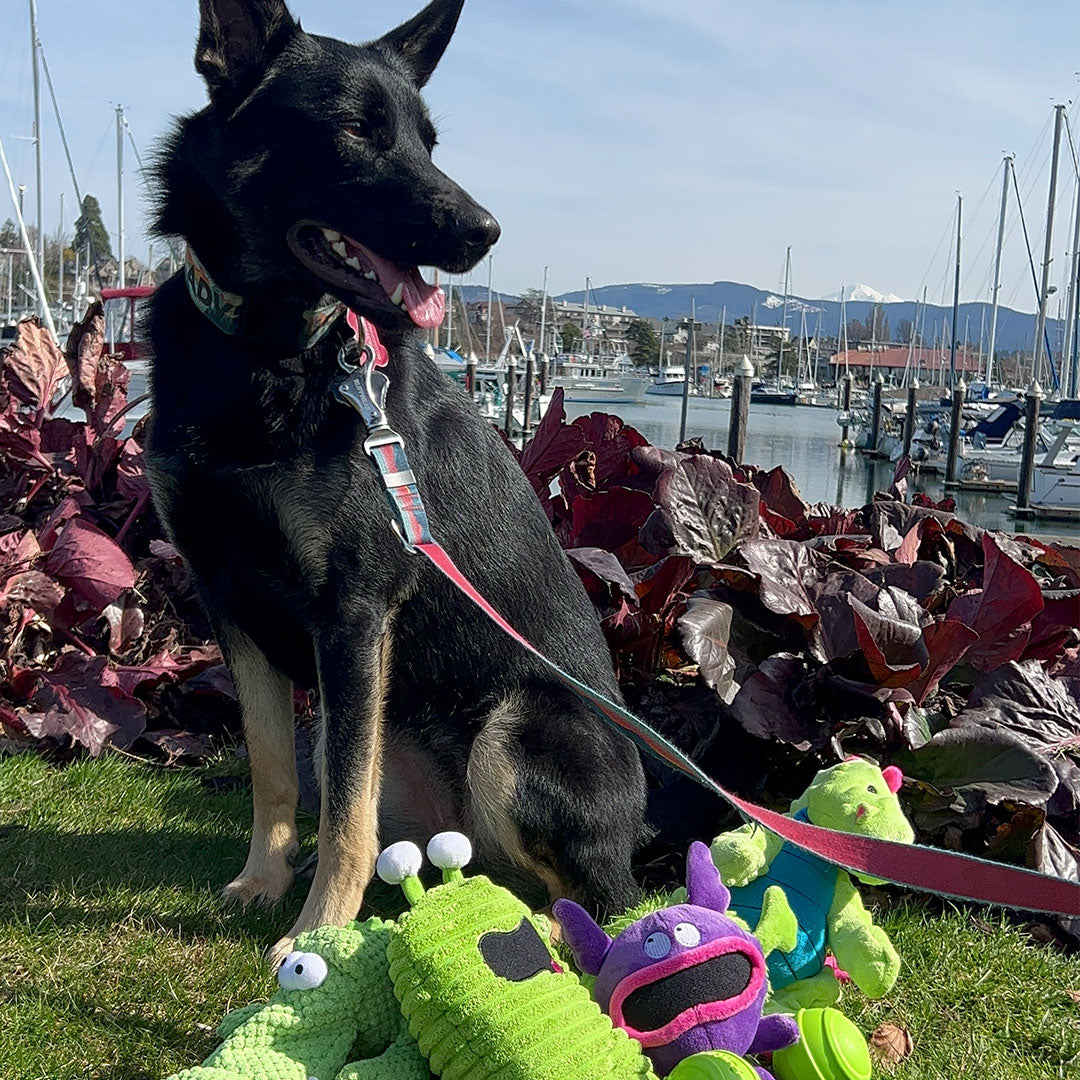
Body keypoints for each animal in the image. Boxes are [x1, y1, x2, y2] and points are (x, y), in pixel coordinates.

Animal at [146, 0, 643, 963]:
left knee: (604, 903)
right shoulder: (227, 602)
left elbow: (346, 814)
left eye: (428, 139)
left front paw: (317, 934)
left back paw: (544, 935)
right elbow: (275, 772)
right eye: (355, 131)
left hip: (516, 733)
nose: (486, 231)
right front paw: (263, 882)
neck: (270, 349)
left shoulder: (354, 609)